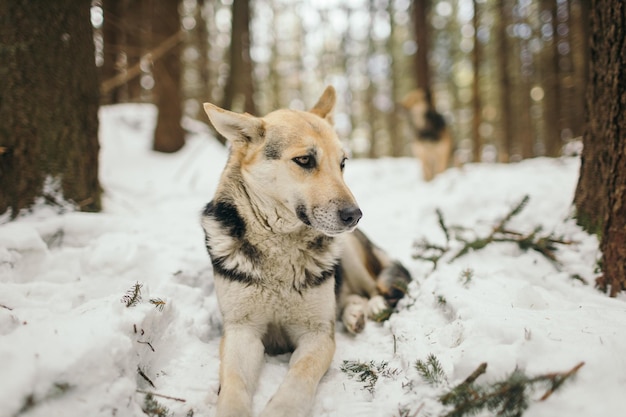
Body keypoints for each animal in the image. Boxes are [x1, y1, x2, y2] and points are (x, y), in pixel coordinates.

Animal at [202, 84, 412, 416]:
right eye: (304, 160)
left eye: (342, 163)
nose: (355, 215)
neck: (280, 244)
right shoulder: (242, 332)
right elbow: (233, 385)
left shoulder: (316, 335)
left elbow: (299, 378)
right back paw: (354, 313)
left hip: (349, 252)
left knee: (373, 288)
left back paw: (372, 307)